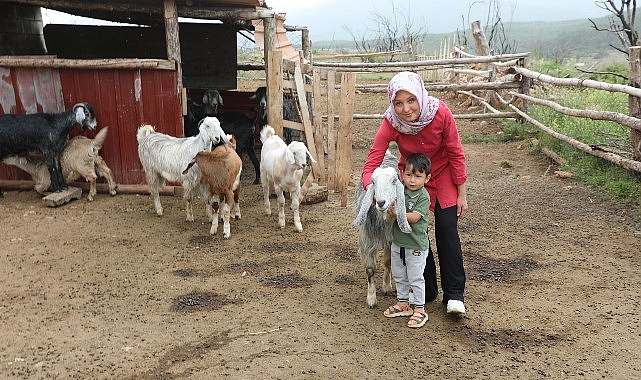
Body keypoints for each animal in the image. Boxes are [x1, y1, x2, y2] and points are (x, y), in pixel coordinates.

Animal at [352, 150, 412, 308]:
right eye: (373, 182)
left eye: (394, 180)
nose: (380, 203)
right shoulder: (367, 238)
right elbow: (370, 269)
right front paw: (371, 298)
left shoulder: (391, 239)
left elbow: (388, 262)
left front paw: (386, 286)